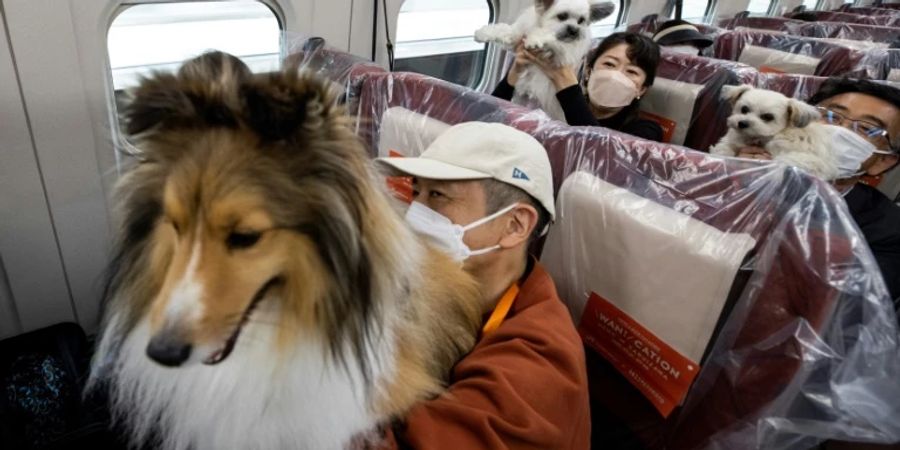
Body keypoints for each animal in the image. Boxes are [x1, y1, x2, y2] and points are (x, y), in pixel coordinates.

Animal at [474, 0, 616, 121]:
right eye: (562, 16)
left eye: (581, 21)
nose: (574, 30)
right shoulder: (517, 37)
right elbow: (503, 30)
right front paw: (482, 33)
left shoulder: (563, 53)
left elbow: (550, 38)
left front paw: (535, 39)